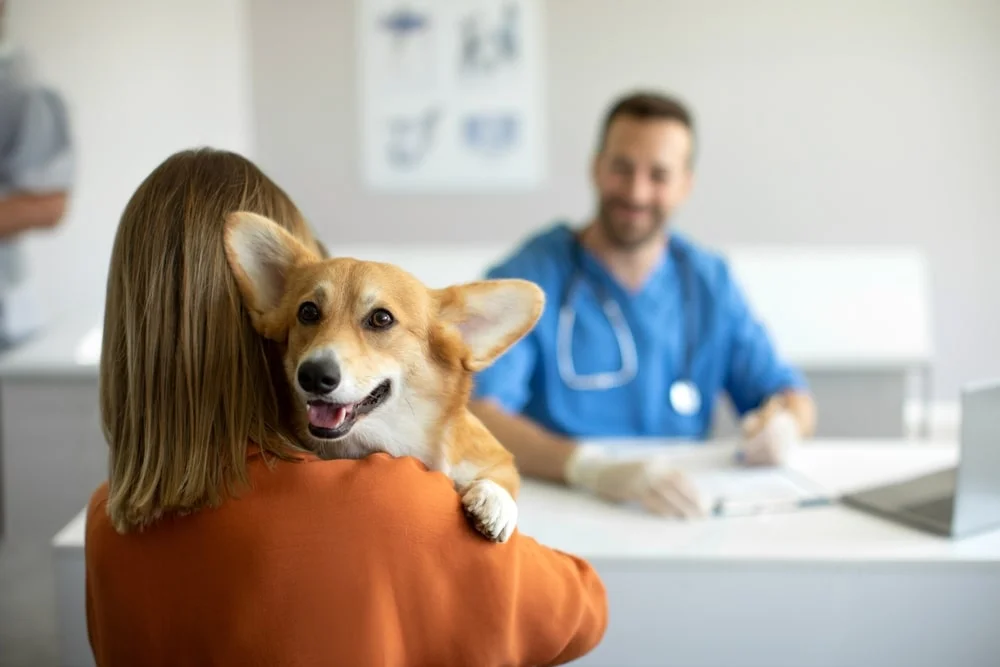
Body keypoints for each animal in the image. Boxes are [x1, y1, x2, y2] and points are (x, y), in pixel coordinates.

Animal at [223, 213, 544, 544]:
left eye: (381, 318)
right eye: (308, 312)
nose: (313, 375)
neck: (393, 437)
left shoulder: (492, 457)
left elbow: (504, 474)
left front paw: (494, 501)